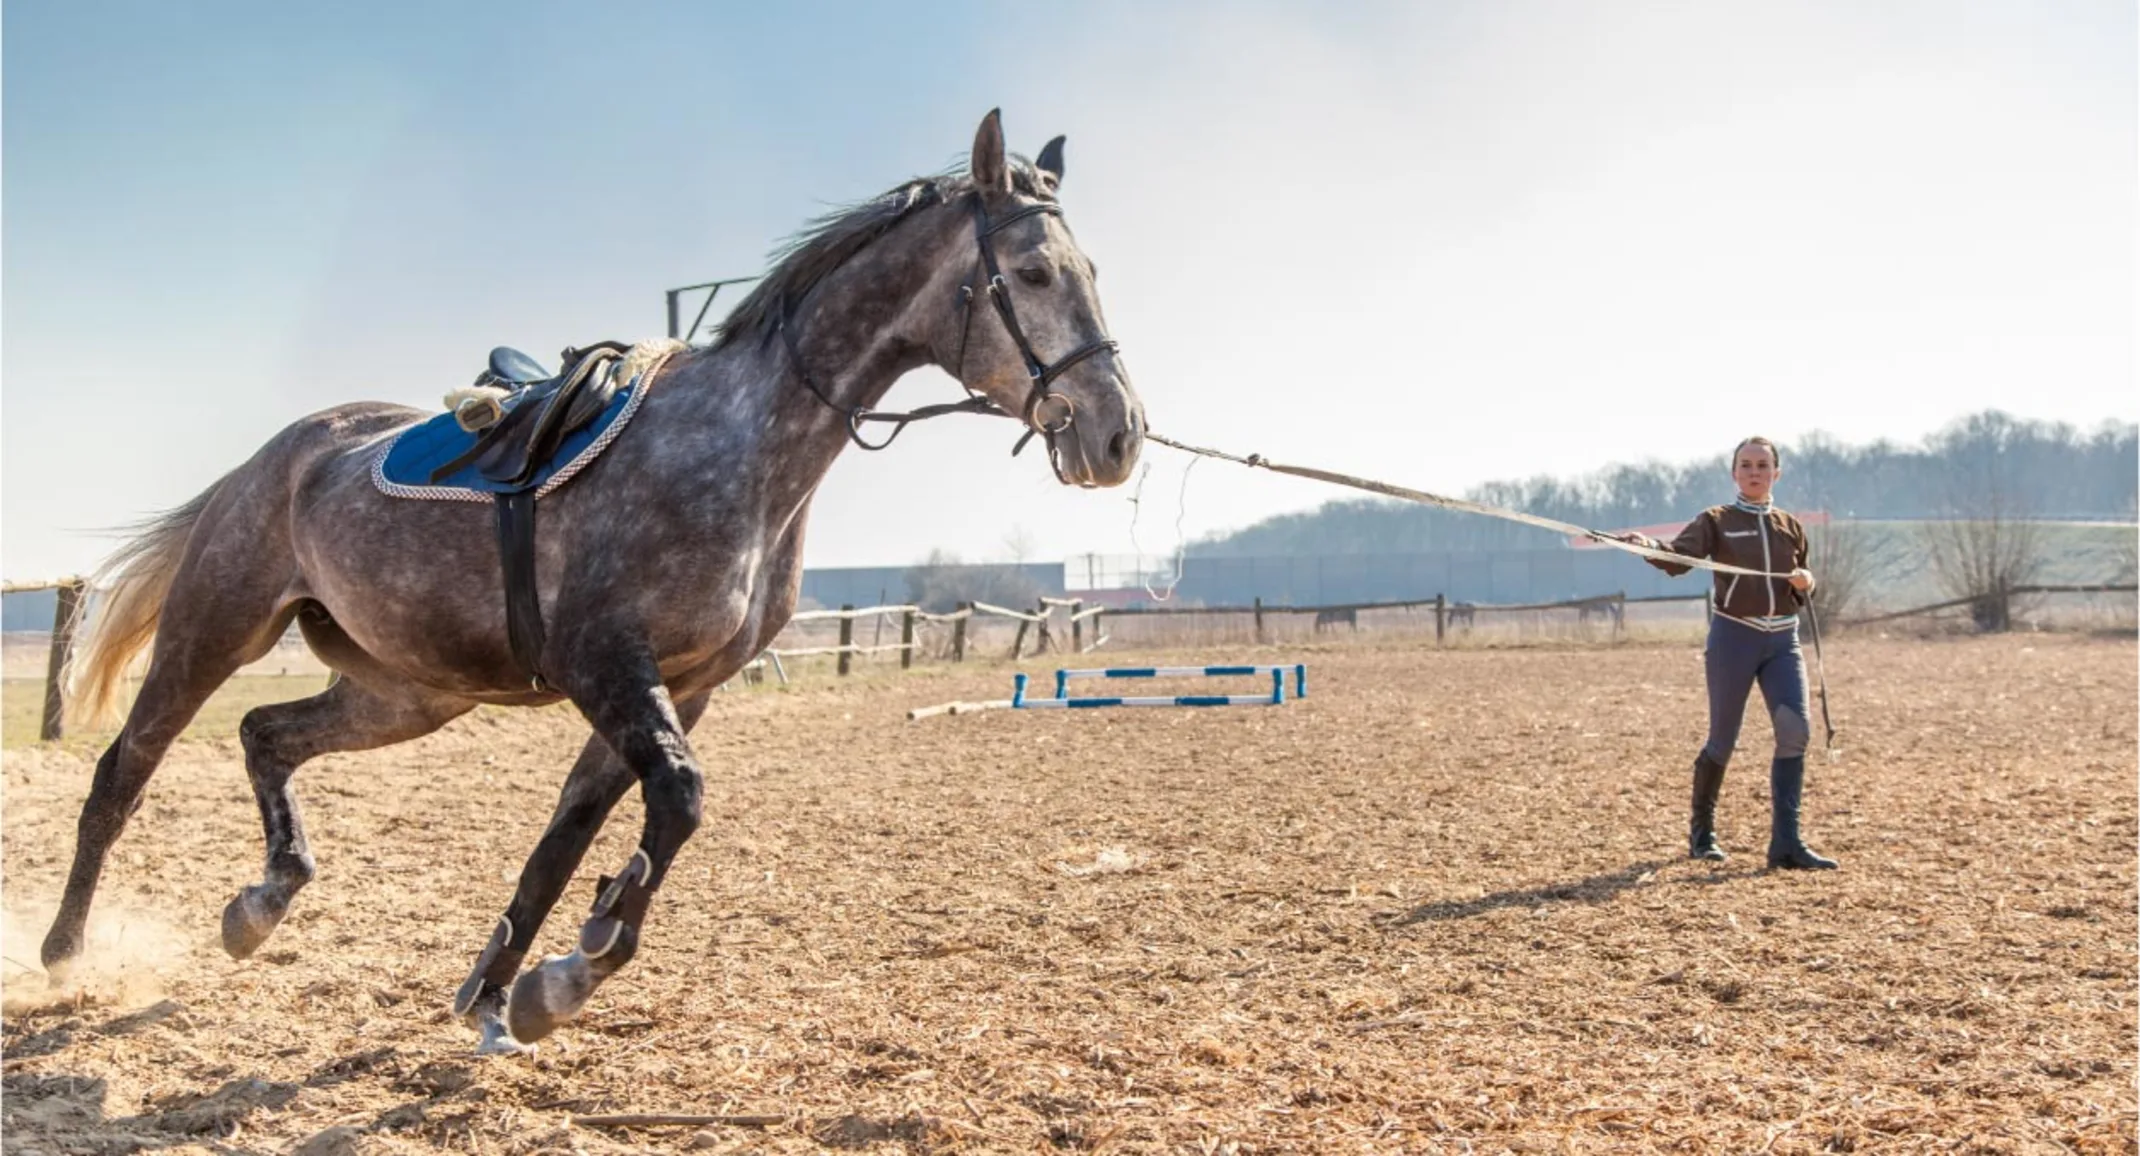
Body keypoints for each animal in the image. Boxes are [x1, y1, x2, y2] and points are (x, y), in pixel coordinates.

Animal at [41, 112, 1147, 1053]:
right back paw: (65, 952)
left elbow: (569, 835)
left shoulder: (682, 686)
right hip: (213, 630)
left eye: (1094, 270)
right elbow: (677, 804)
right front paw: (569, 974)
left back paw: (261, 903)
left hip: (409, 692)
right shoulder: (604, 662)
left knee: (265, 736)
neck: (743, 448)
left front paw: (502, 993)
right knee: (122, 774)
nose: (1117, 435)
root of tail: (275, 455)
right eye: (1034, 271)